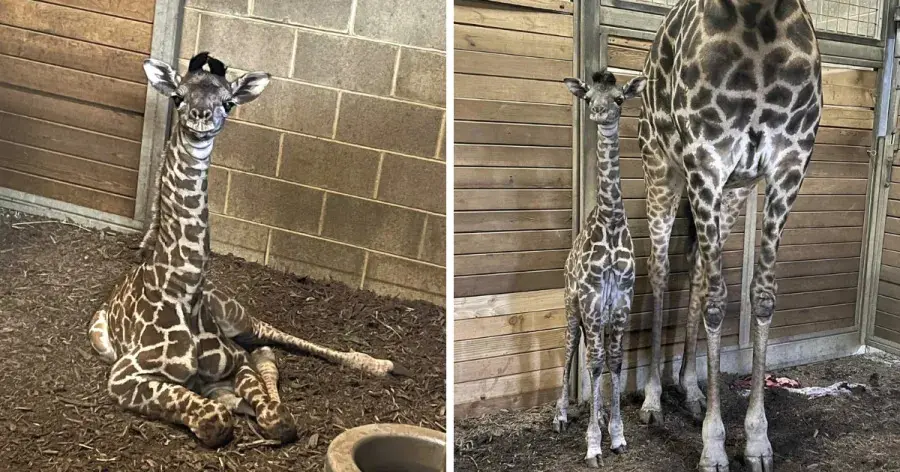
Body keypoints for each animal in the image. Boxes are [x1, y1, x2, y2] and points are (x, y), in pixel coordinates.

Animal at [88, 52, 408, 448]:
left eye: (228, 102)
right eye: (178, 97)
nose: (201, 118)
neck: (184, 291)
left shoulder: (235, 360)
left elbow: (277, 417)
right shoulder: (123, 375)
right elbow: (215, 417)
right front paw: (226, 405)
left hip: (234, 314)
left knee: (269, 333)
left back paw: (377, 364)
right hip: (103, 342)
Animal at [635, 0, 822, 470]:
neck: (759, 20)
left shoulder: (789, 164)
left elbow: (761, 294)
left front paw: (757, 441)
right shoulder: (706, 158)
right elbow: (718, 303)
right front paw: (715, 446)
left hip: (732, 193)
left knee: (699, 270)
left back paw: (690, 388)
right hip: (662, 169)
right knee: (659, 270)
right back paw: (652, 400)